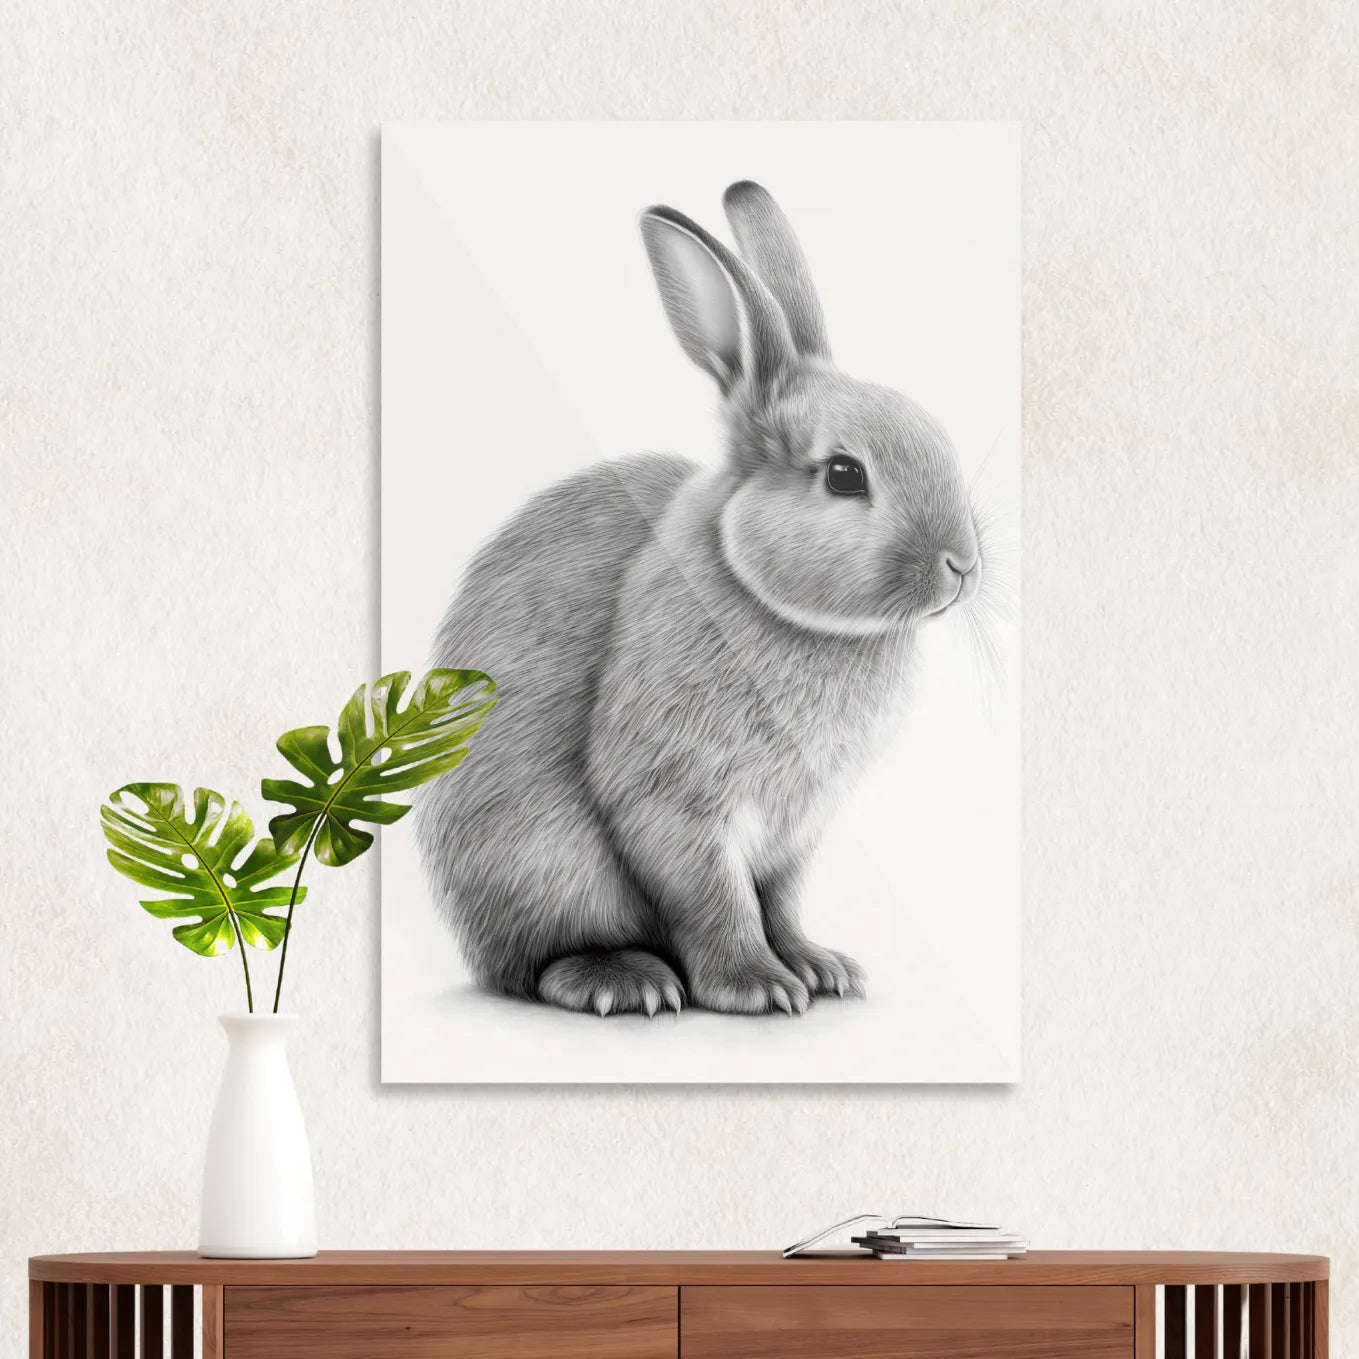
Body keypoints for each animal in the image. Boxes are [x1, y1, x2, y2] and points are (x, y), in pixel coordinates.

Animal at [414, 180, 983, 1018]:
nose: (961, 565)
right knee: (536, 963)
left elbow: (778, 900)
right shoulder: (672, 798)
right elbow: (715, 897)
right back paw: (624, 980)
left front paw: (818, 968)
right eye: (844, 474)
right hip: (540, 862)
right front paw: (757, 986)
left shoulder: (793, 829)